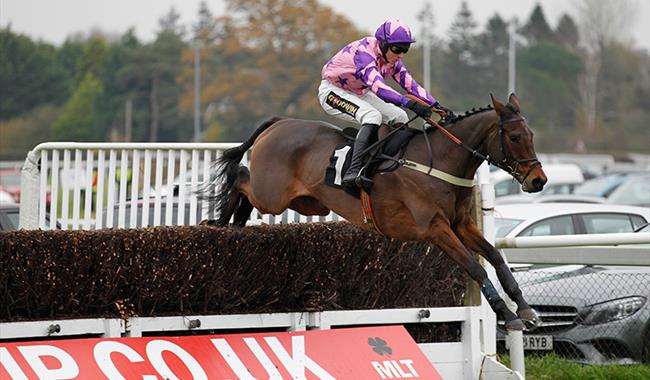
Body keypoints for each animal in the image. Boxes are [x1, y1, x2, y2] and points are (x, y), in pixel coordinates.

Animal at [208, 93, 548, 330]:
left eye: (532, 135)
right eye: (515, 137)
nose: (538, 180)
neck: (440, 161)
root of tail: (279, 122)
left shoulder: (462, 223)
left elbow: (495, 257)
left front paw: (525, 309)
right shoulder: (436, 228)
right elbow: (475, 267)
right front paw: (507, 315)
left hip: (305, 201)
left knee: (246, 192)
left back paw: (235, 226)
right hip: (273, 195)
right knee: (240, 177)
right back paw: (222, 220)